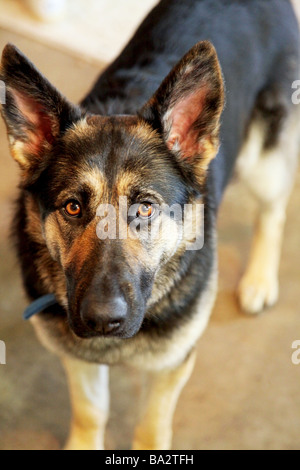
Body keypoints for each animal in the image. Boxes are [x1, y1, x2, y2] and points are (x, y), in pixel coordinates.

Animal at [0, 0, 300, 450]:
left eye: (144, 209)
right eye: (72, 207)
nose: (102, 320)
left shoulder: (171, 365)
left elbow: (151, 425)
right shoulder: (78, 358)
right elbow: (91, 411)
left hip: (263, 161)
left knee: (274, 210)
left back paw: (260, 280)